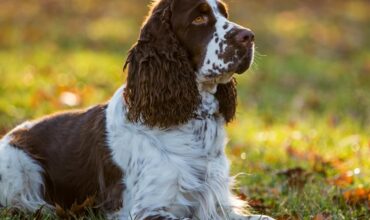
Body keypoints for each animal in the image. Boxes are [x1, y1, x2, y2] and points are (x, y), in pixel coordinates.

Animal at [0, 0, 274, 220]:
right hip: (20, 166)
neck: (192, 119)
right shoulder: (147, 209)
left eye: (225, 13)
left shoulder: (217, 203)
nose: (249, 36)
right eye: (199, 18)